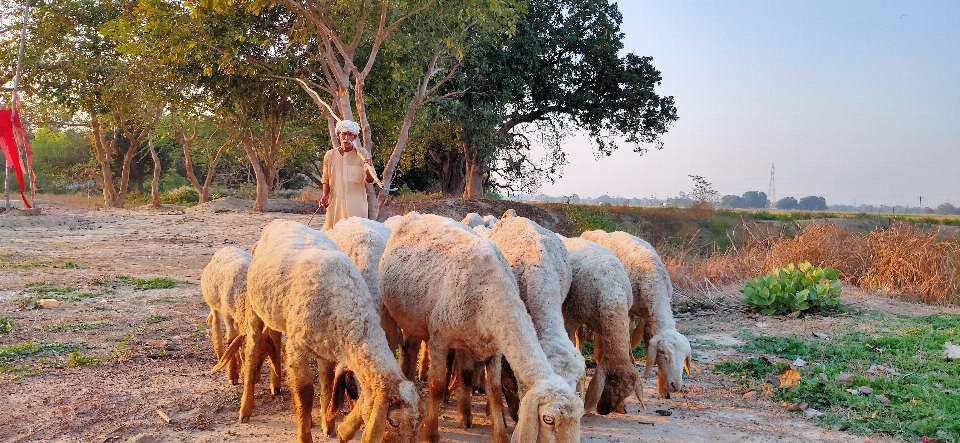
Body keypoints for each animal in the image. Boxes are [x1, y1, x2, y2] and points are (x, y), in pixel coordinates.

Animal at [238, 220, 418, 443]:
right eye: (393, 422)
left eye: (416, 423)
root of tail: (280, 221)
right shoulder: (297, 345)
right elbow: (305, 392)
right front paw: (305, 436)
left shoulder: (327, 347)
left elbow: (327, 383)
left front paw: (328, 425)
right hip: (253, 308)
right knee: (252, 352)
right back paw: (245, 410)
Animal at [378, 212, 580, 443]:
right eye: (548, 419)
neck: (491, 292)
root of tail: (416, 214)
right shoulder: (439, 339)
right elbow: (437, 386)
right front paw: (430, 434)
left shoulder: (493, 347)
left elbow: (494, 390)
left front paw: (499, 434)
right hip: (395, 312)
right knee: (406, 348)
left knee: (417, 350)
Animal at [564, 238, 644, 414]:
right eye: (608, 383)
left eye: (627, 393)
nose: (603, 411)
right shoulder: (569, 320)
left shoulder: (602, 329)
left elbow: (599, 356)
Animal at [576, 231, 688, 400]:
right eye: (662, 352)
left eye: (684, 356)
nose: (676, 385)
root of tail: (591, 232)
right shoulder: (627, 310)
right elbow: (628, 335)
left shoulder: (649, 316)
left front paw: (663, 388)